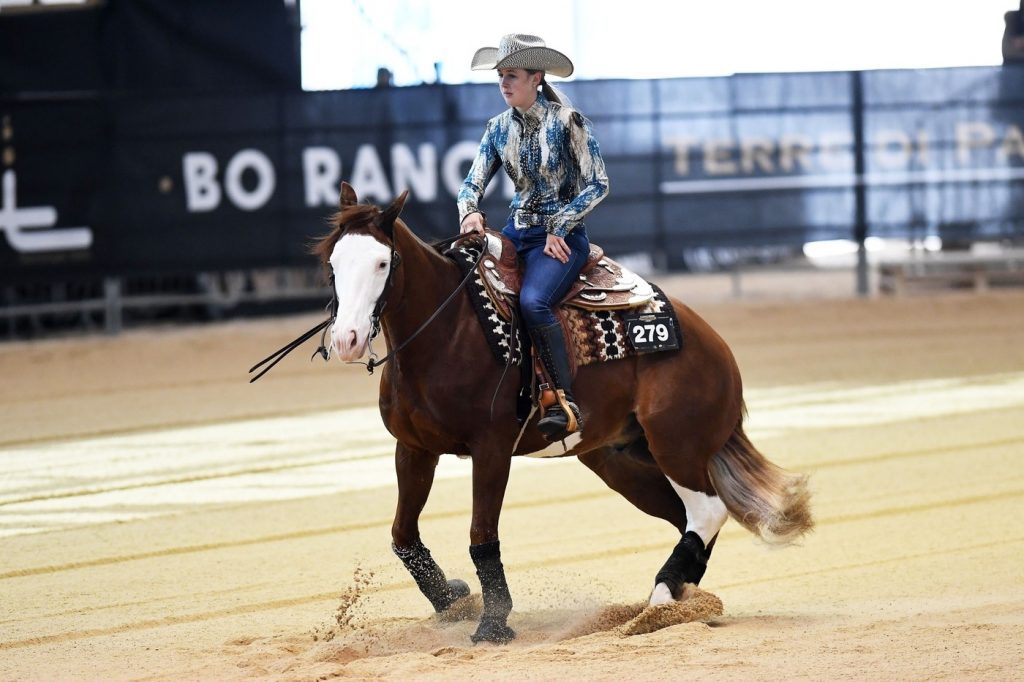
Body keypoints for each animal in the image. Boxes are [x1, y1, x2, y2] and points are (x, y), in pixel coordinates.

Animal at [311, 182, 813, 644]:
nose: (347, 339)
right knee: (685, 518)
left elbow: (481, 535)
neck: (449, 331)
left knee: (707, 512)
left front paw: (493, 625)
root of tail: (713, 344)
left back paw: (657, 604)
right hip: (618, 459)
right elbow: (403, 535)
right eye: (333, 264)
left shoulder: (491, 450)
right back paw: (678, 601)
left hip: (677, 447)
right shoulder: (414, 448)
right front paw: (453, 599)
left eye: (382, 263)